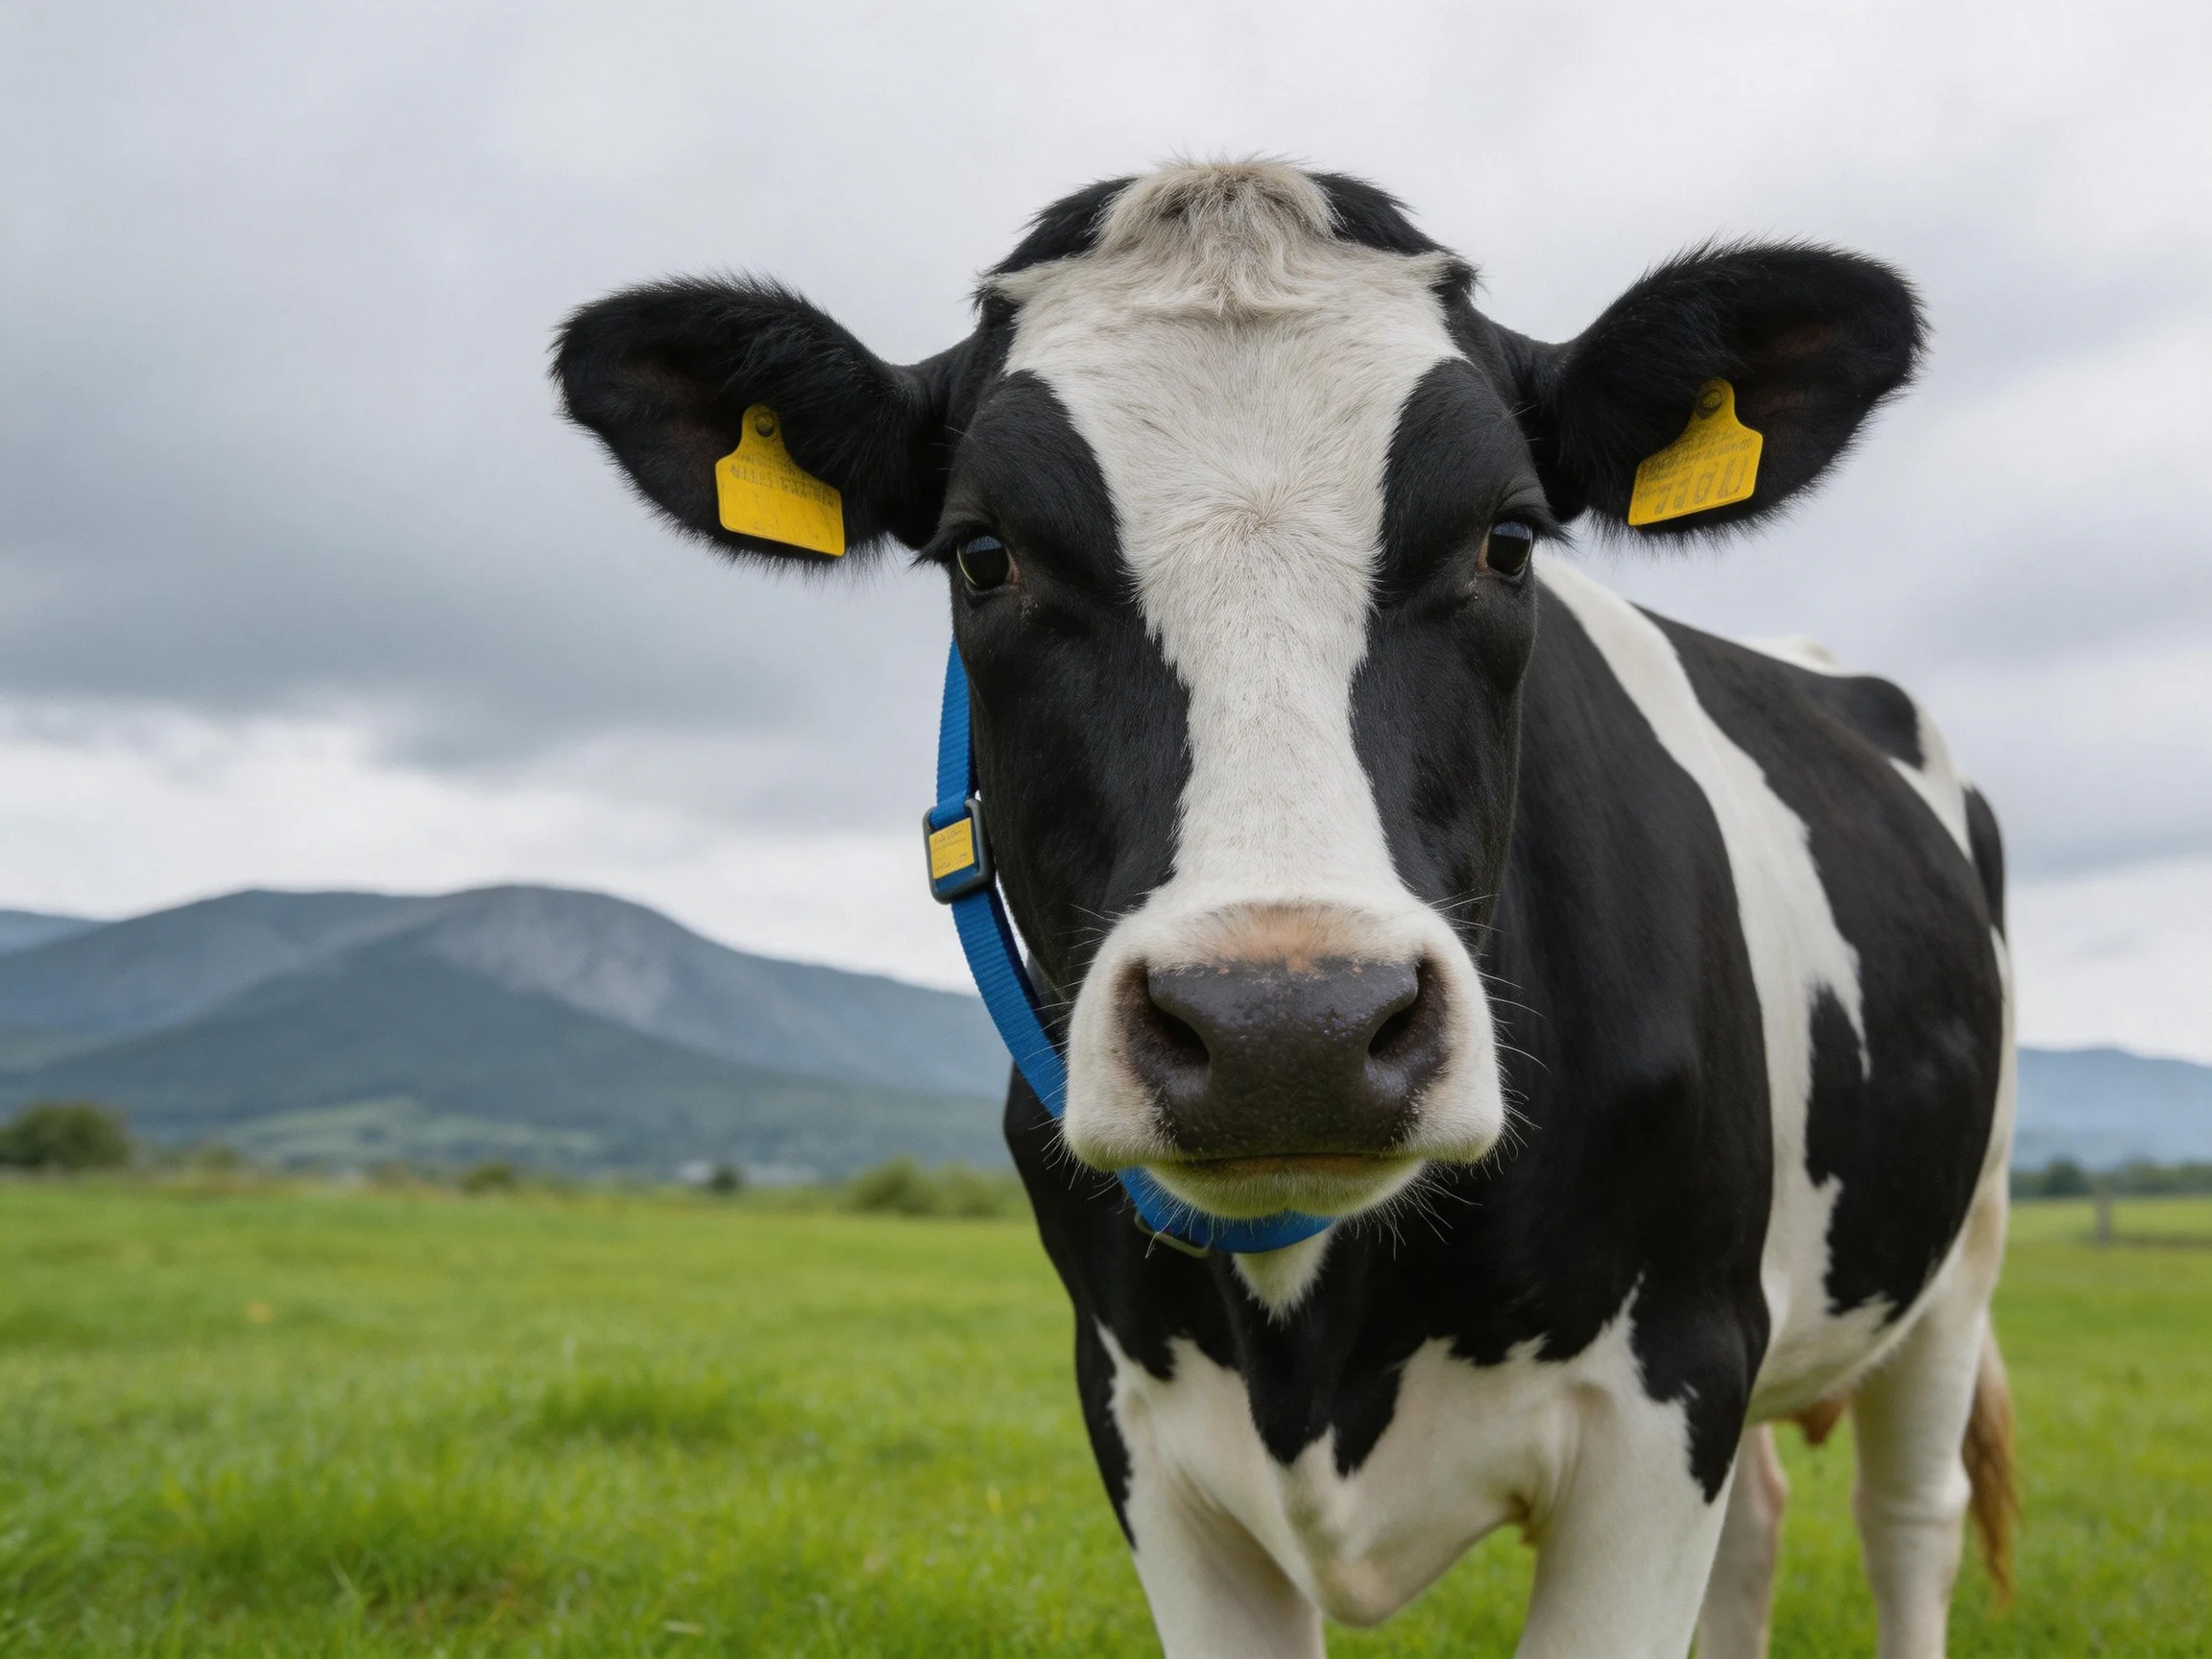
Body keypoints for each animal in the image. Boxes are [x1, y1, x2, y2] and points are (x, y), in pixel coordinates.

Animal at [555, 160, 2016, 1659]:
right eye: (982, 555)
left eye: (1509, 540)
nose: (1286, 1030)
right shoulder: (1135, 1418)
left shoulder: (1673, 1390)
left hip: (1961, 1251)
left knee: (1910, 1524)